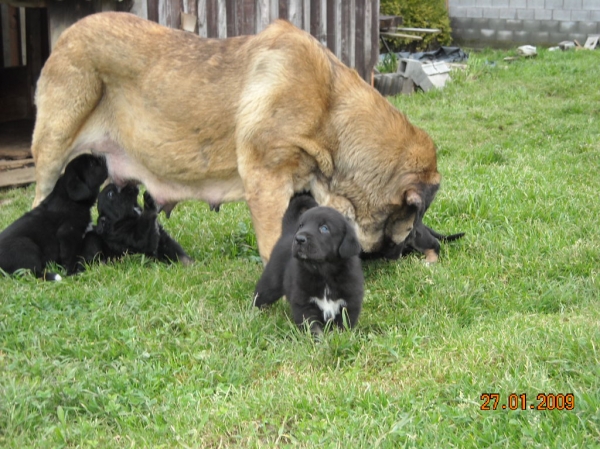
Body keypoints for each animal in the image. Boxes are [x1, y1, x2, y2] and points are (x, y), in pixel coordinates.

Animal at [30, 12, 440, 260]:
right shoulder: (266, 179)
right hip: (54, 145)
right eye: (408, 220)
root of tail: (67, 34)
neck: (333, 117)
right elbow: (275, 242)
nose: (411, 247)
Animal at [255, 194, 364, 334]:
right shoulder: (304, 304)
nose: (299, 239)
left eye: (324, 228)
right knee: (260, 295)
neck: (324, 273)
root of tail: (289, 231)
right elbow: (313, 329)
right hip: (272, 281)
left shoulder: (350, 303)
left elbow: (342, 327)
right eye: (301, 225)